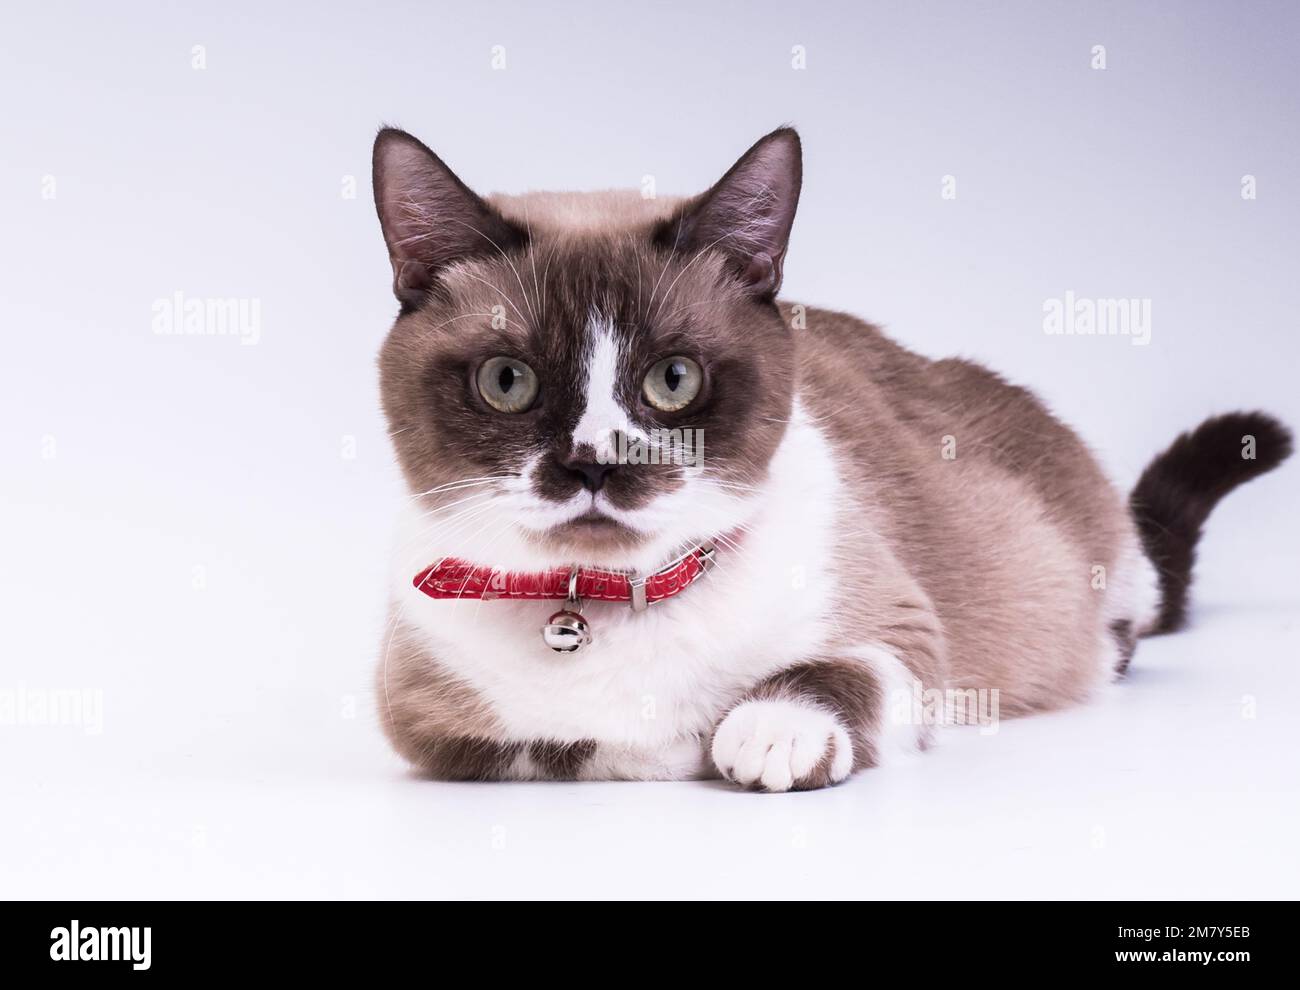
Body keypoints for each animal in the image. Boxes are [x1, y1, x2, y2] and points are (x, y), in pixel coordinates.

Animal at [371, 125, 1294, 784]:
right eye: (507, 382)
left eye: (674, 380)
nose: (596, 465)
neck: (599, 603)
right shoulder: (426, 719)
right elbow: (578, 740)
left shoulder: (908, 636)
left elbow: (822, 680)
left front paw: (765, 730)